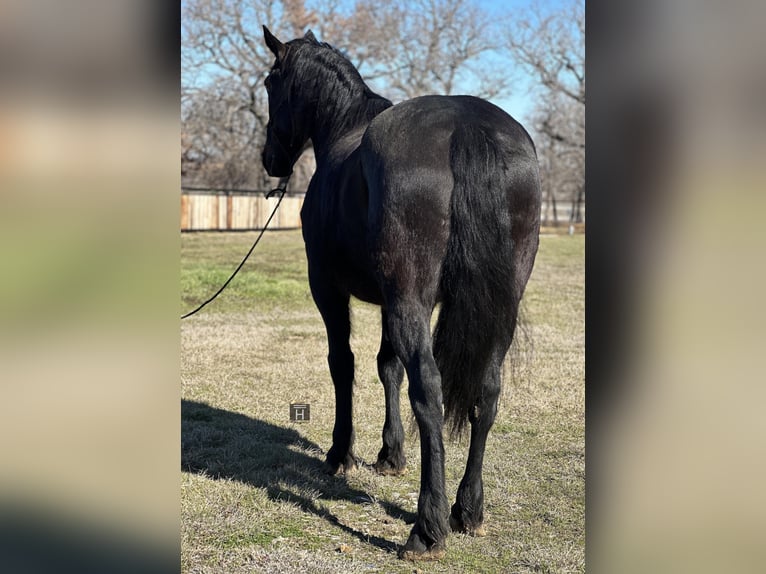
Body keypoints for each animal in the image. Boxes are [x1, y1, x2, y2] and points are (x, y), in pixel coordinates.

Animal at [260, 27, 544, 564]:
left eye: (269, 83)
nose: (269, 158)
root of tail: (469, 126)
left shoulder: (329, 288)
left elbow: (344, 364)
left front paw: (341, 453)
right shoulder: (393, 300)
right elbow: (387, 365)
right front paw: (390, 454)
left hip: (407, 301)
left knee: (428, 389)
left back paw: (427, 528)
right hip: (497, 310)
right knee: (487, 390)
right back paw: (467, 510)